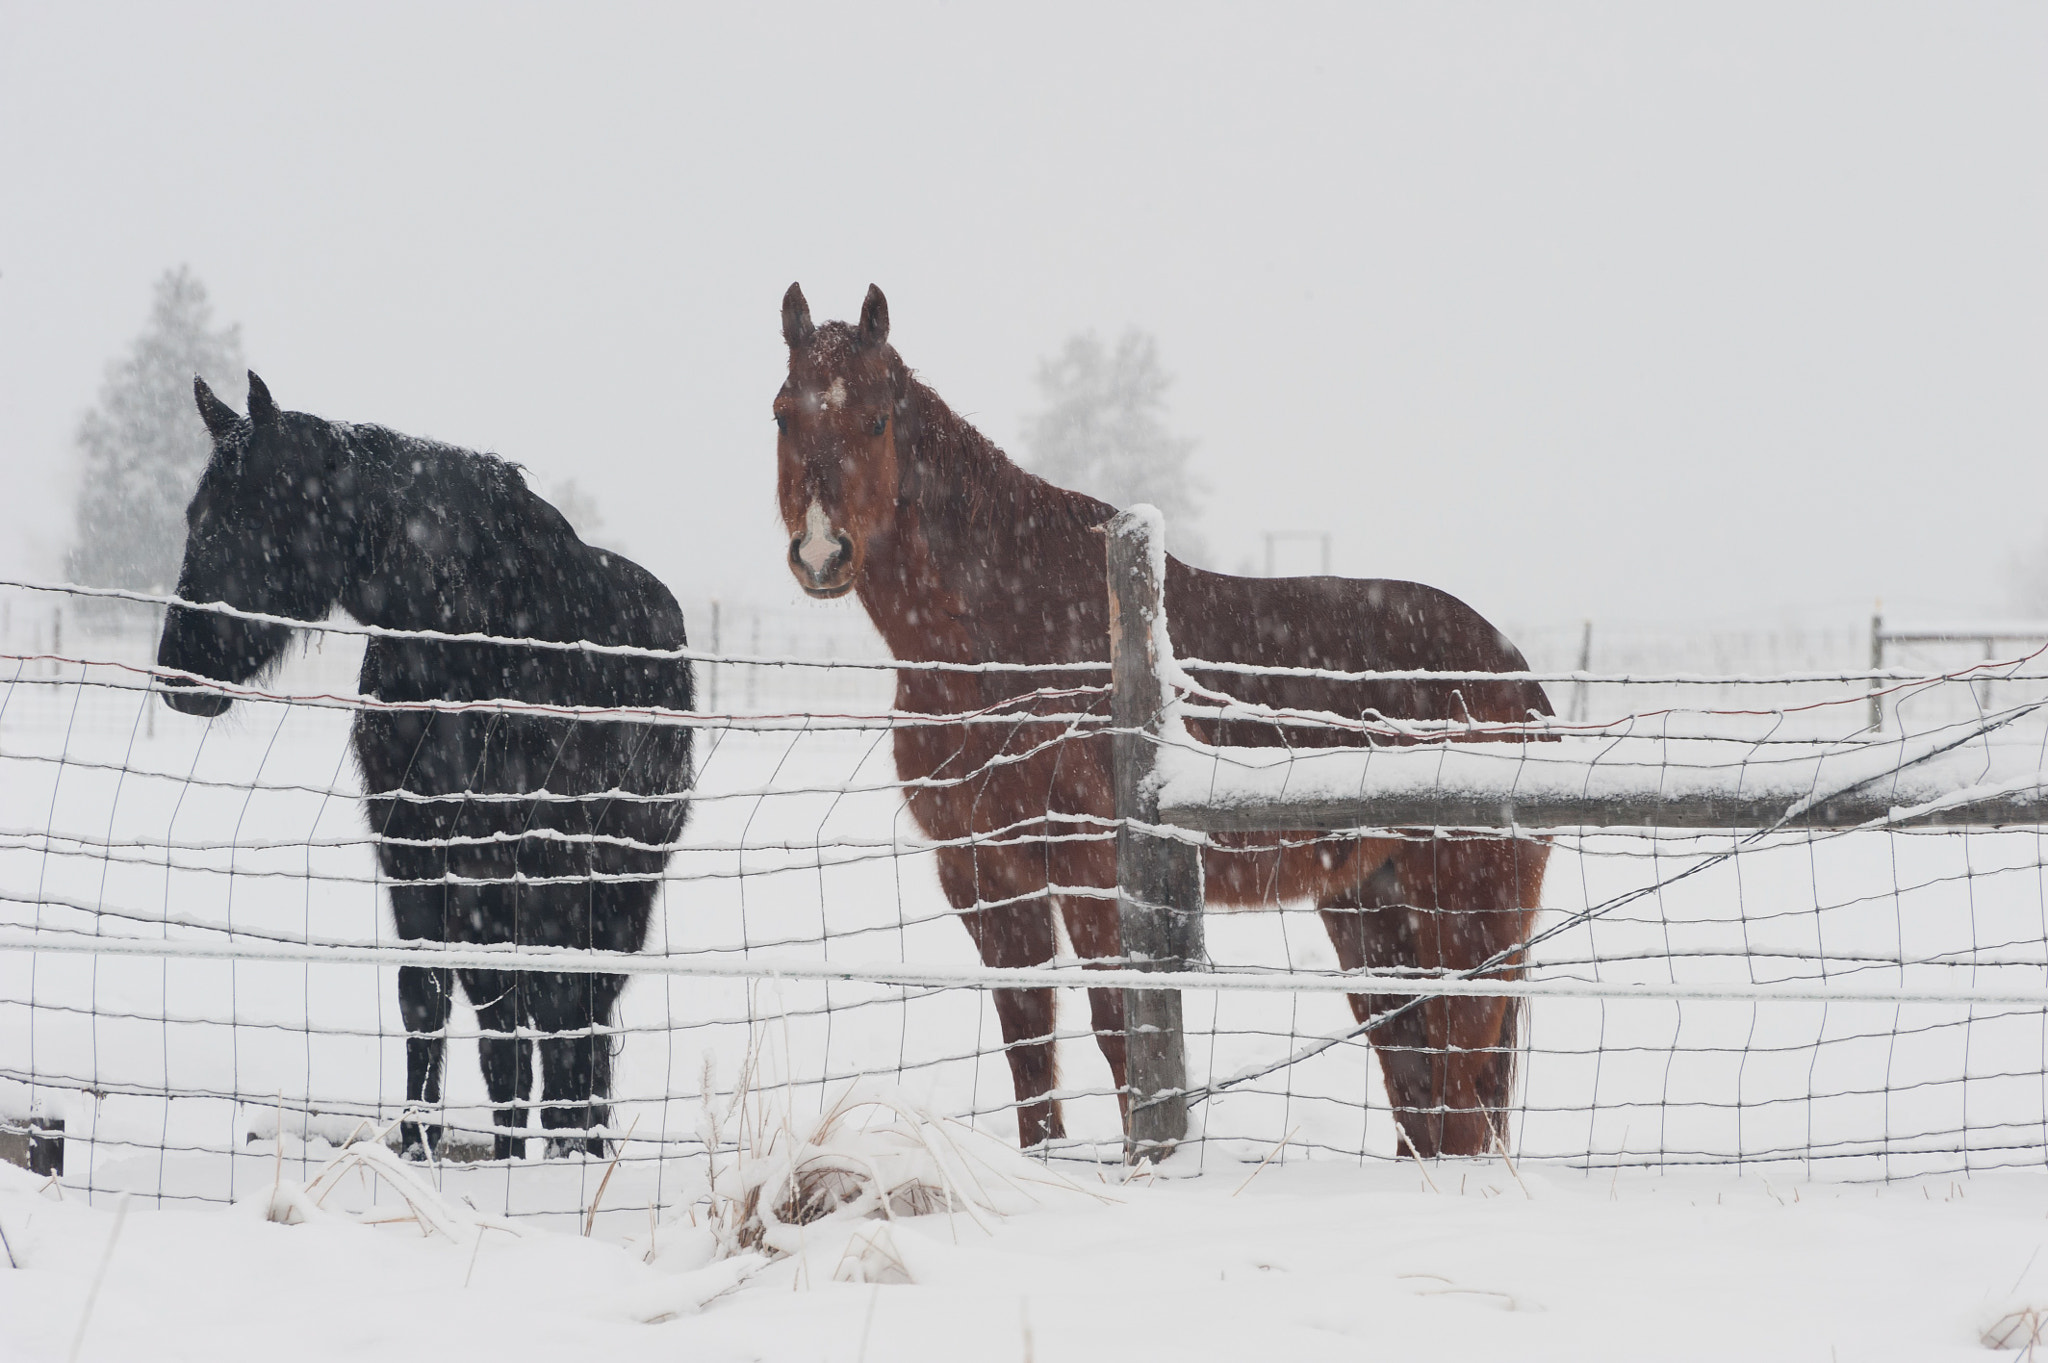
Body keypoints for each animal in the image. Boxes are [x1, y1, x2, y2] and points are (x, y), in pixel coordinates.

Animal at [156, 372, 693, 1159]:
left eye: (253, 513)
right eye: (196, 514)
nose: (179, 672)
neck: (467, 641)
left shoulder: (526, 866)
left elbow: (543, 1021)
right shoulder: (415, 854)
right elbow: (429, 1000)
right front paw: (417, 1144)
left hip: (616, 886)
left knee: (580, 1018)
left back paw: (580, 1147)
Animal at [772, 285, 1552, 1158]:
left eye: (876, 420)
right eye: (783, 415)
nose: (821, 552)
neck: (1001, 632)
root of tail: (1521, 679)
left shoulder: (1092, 873)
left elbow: (1121, 1033)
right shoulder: (987, 874)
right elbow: (1028, 1044)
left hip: (1465, 911)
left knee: (1460, 1088)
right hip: (1368, 909)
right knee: (1420, 1084)